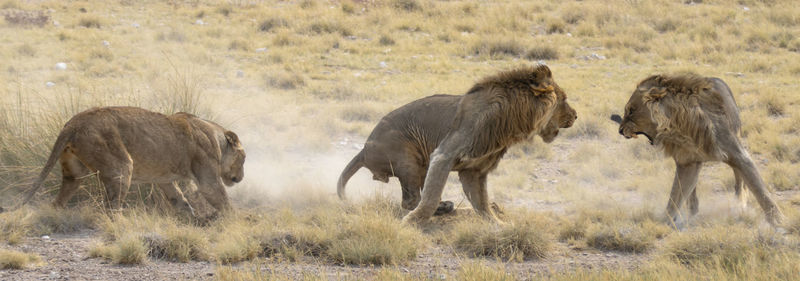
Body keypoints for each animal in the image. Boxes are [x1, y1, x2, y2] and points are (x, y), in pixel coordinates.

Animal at [20, 105, 245, 217]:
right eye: (243, 159)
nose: (242, 178)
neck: (215, 136)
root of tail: (73, 123)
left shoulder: (164, 180)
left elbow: (178, 199)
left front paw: (192, 217)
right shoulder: (207, 177)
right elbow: (220, 198)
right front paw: (238, 220)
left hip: (74, 173)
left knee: (59, 200)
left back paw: (55, 216)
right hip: (121, 166)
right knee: (111, 208)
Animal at [398, 64, 576, 224]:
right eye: (564, 99)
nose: (576, 115)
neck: (510, 120)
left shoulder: (474, 170)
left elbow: (481, 202)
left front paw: (498, 224)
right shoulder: (444, 154)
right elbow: (432, 195)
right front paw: (412, 221)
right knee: (410, 198)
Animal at [608, 74, 784, 228]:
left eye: (631, 111)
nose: (620, 130)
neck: (679, 125)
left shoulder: (738, 155)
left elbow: (760, 190)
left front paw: (778, 220)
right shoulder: (687, 162)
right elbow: (676, 194)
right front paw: (667, 220)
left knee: (739, 180)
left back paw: (739, 203)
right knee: (691, 193)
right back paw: (692, 211)